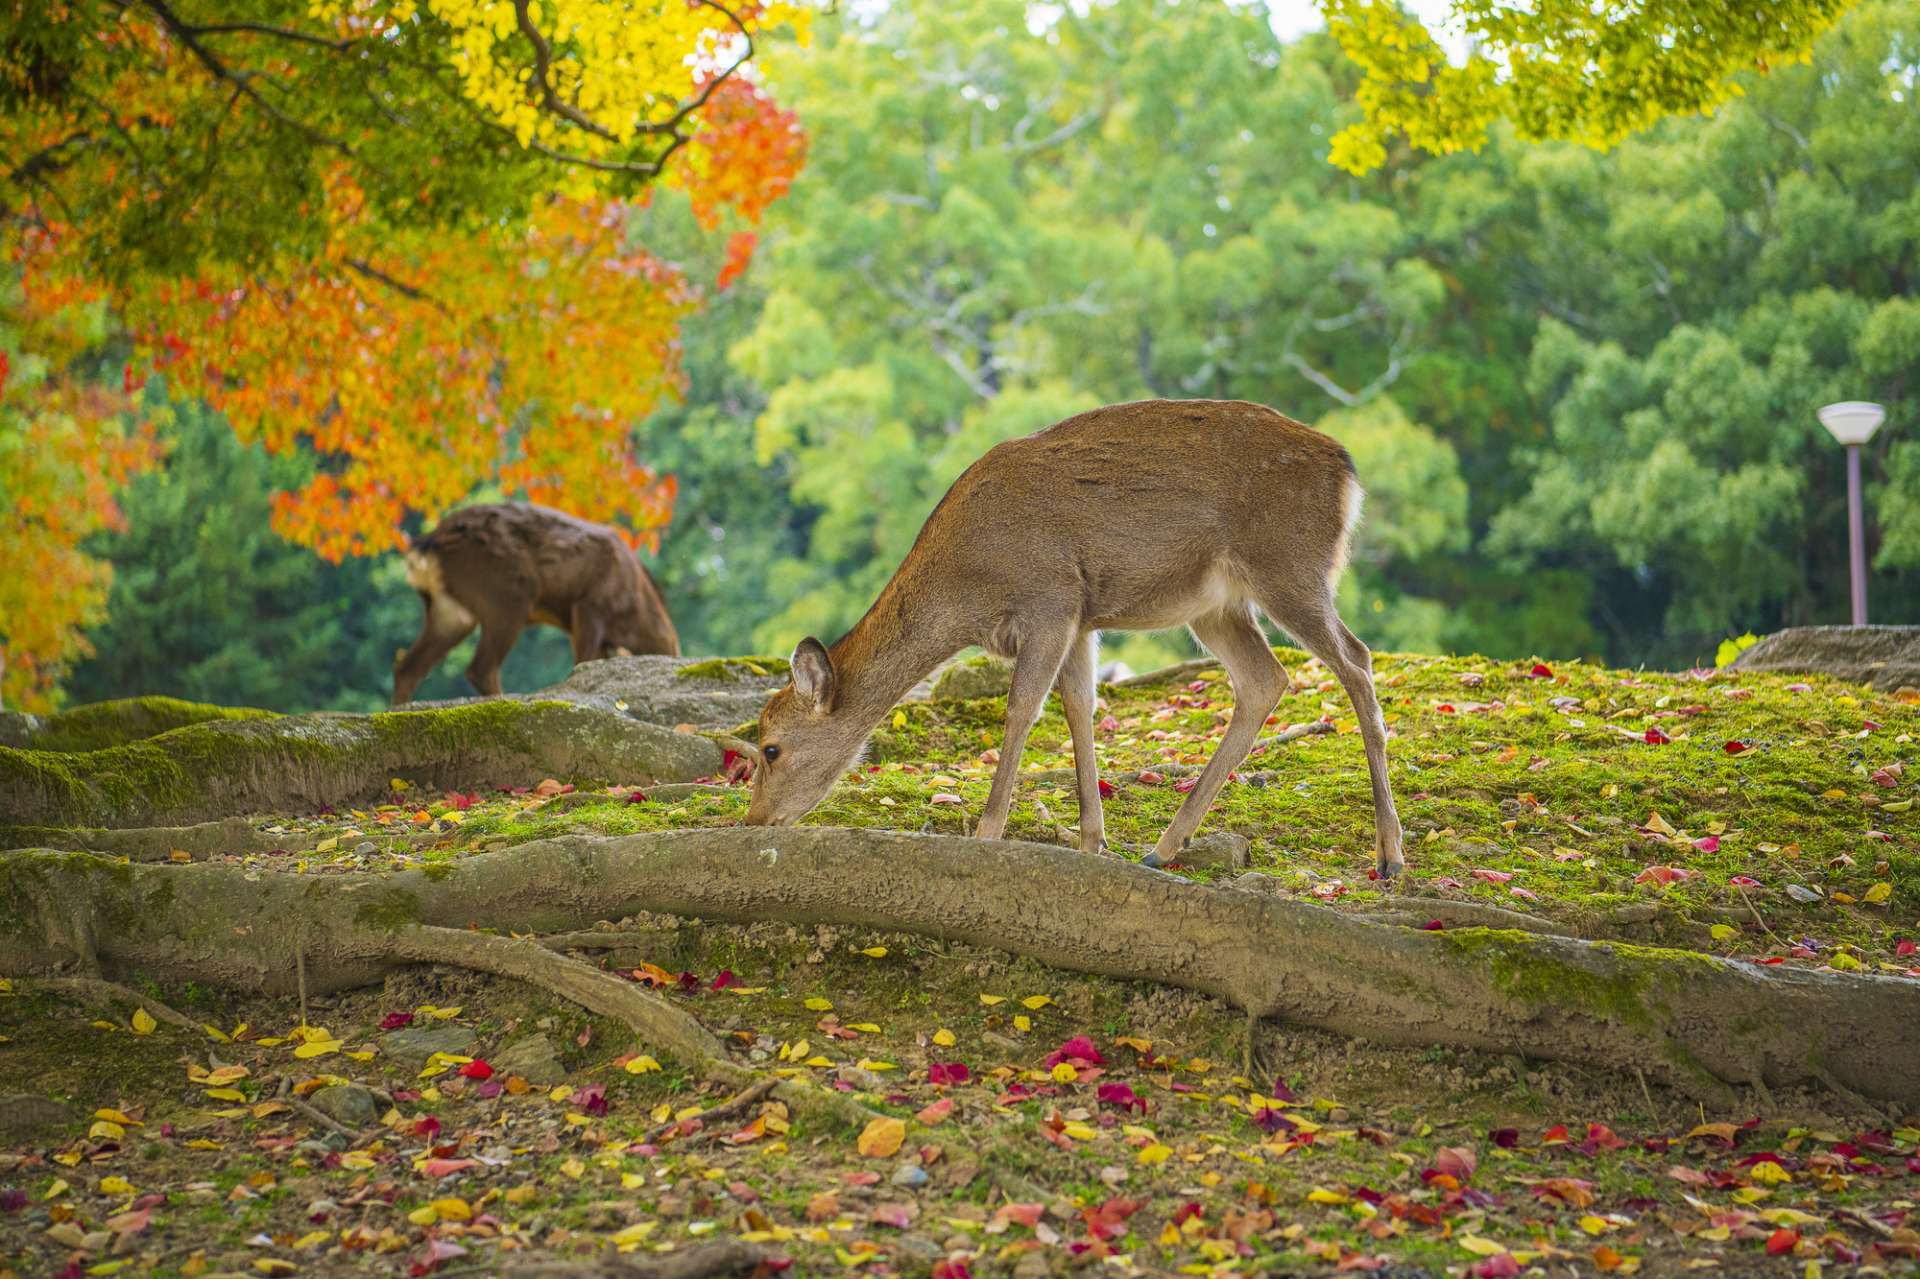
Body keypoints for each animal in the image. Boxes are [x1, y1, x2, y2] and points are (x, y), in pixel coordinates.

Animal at [389, 499, 683, 702]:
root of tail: (428, 546)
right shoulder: (589, 607)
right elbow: (582, 661)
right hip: (506, 595)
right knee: (481, 667)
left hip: (451, 611)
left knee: (408, 667)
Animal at [741, 399, 1405, 875]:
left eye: (770, 748)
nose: (753, 821)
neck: (967, 590)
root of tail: (1347, 471)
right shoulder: (1082, 620)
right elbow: (1080, 708)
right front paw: (1092, 842)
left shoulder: (1050, 601)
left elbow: (1022, 710)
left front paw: (987, 834)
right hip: (1217, 604)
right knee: (1266, 679)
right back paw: (1164, 846)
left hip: (1289, 565)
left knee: (1356, 660)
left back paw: (1390, 854)